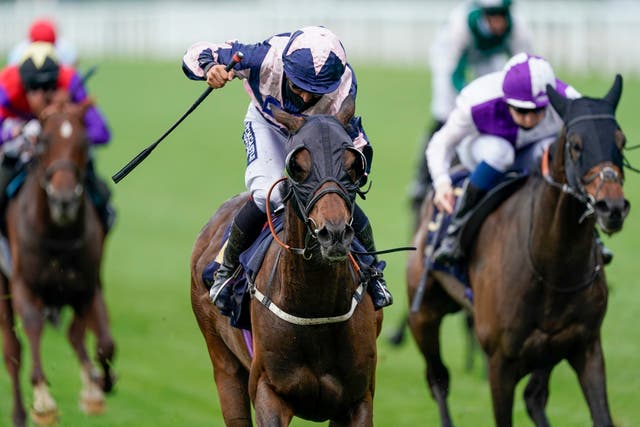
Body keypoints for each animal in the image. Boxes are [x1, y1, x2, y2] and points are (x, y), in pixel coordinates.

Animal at [0, 98, 115, 427]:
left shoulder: (86, 285)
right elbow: (33, 325)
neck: (58, 235)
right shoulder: (24, 284)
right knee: (12, 350)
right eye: (43, 142)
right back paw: (19, 413)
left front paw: (96, 387)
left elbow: (97, 341)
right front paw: (43, 402)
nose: (64, 200)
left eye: (84, 142)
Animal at [408, 75, 628, 426]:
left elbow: (600, 416)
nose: (613, 207)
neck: (553, 267)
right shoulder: (500, 361)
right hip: (423, 313)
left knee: (534, 395)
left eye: (620, 141)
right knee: (438, 378)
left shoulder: (585, 345)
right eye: (576, 144)